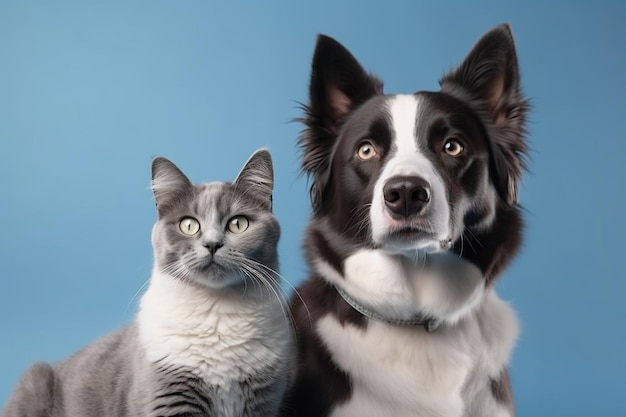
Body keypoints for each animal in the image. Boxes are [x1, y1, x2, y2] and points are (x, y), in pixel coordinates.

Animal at [1, 148, 292, 414]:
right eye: (189, 225)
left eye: (238, 224)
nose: (212, 244)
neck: (217, 311)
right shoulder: (168, 394)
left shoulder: (263, 400)